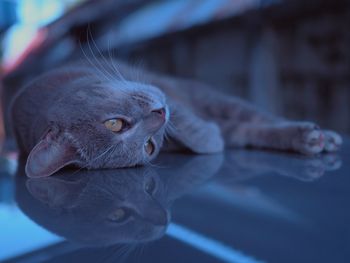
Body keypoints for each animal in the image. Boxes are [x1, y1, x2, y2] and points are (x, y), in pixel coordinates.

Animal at [9, 59, 344, 179]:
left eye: (114, 123)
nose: (160, 113)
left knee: (255, 113)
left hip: (210, 95)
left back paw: (322, 135)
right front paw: (212, 141)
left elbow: (186, 118)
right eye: (148, 147)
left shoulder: (166, 91)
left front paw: (206, 138)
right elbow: (229, 133)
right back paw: (311, 139)